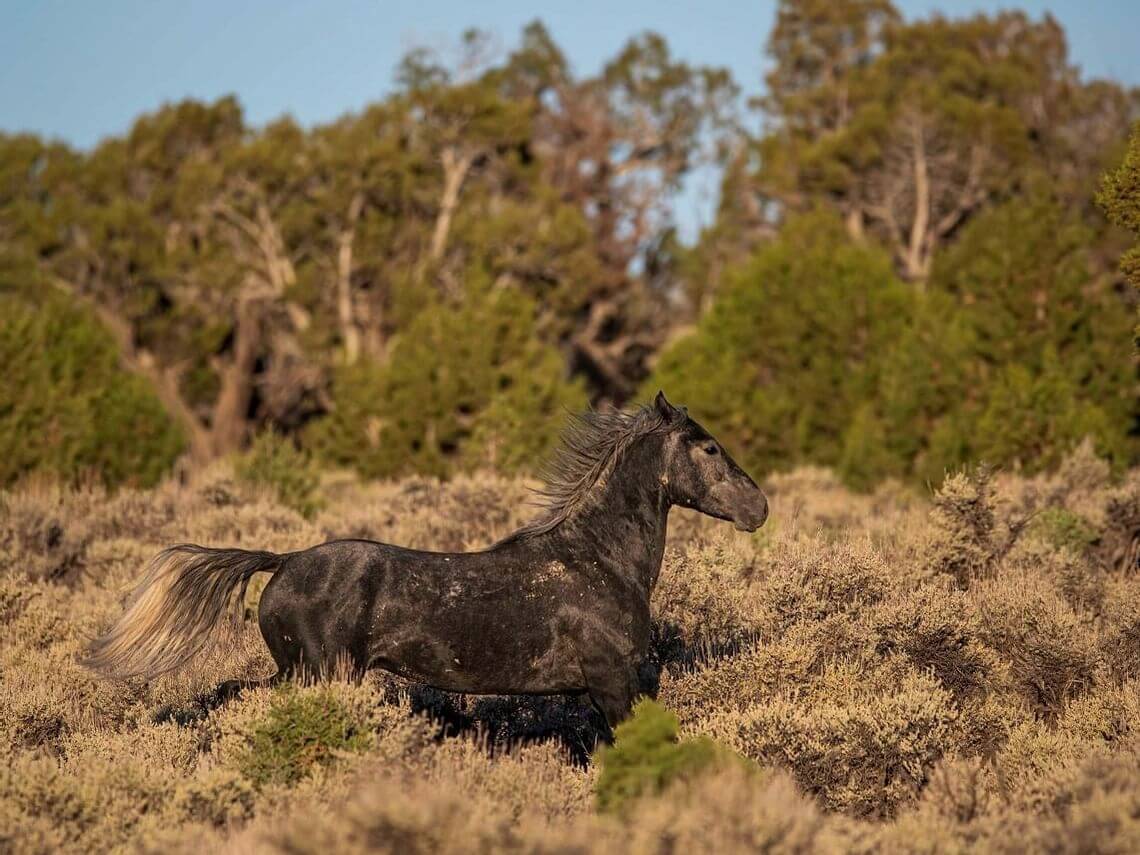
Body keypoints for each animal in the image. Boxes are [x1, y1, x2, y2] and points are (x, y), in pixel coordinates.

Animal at [86, 394, 766, 738]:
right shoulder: (613, 684)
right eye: (708, 447)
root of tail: (285, 561)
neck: (598, 561)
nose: (759, 507)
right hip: (316, 674)